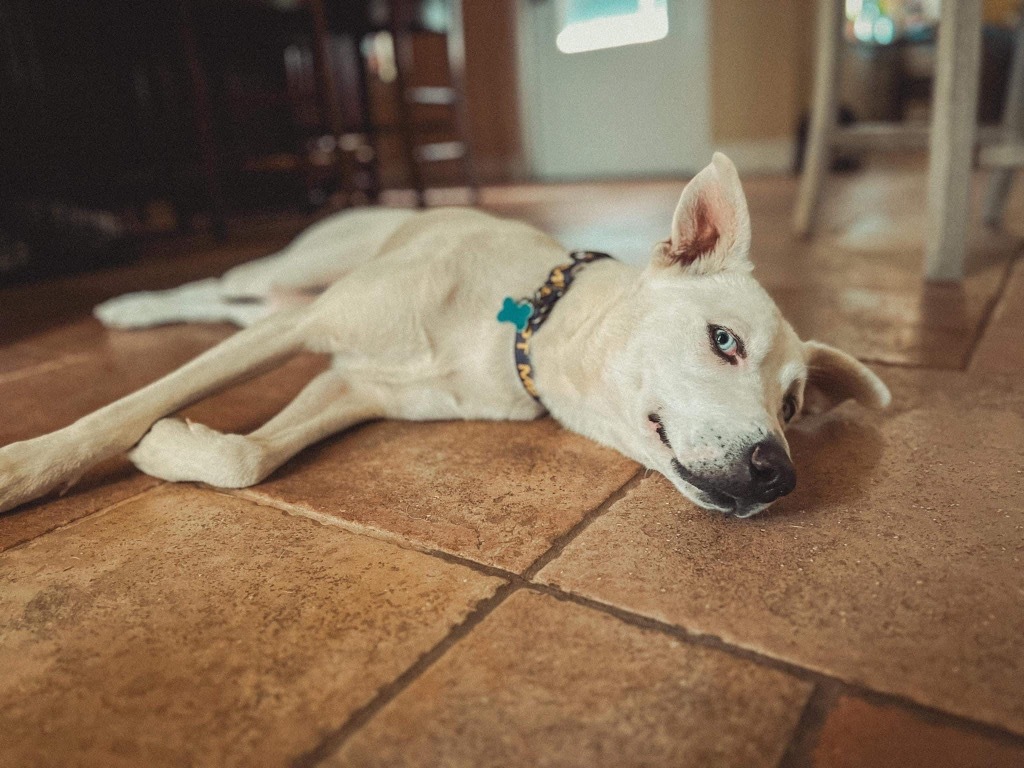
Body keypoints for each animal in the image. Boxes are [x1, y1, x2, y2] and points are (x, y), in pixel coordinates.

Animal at [0, 153, 888, 520]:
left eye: (793, 405)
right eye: (725, 341)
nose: (778, 473)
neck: (522, 326)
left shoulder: (351, 386)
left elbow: (248, 457)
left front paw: (172, 445)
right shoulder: (311, 329)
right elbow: (117, 412)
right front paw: (28, 467)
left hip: (282, 306)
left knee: (233, 306)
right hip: (306, 270)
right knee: (218, 284)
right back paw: (129, 306)